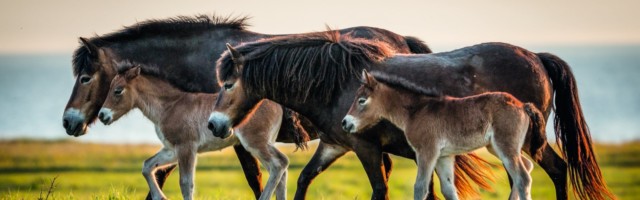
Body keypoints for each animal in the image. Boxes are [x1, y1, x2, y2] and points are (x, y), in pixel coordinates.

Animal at [99, 61, 292, 200]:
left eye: (118, 91)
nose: (102, 115)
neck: (170, 106)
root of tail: (277, 104)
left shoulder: (186, 147)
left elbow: (186, 183)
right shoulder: (171, 149)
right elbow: (147, 166)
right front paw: (160, 197)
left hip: (254, 142)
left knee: (278, 164)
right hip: (263, 143)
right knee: (281, 168)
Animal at [342, 70, 548, 200]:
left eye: (361, 100)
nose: (345, 123)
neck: (416, 111)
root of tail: (522, 105)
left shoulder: (427, 152)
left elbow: (420, 187)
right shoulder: (444, 156)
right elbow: (449, 189)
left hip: (504, 145)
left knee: (522, 178)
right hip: (496, 147)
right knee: (527, 166)